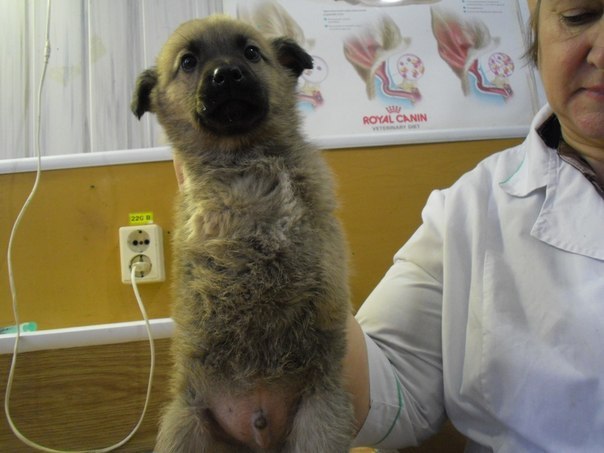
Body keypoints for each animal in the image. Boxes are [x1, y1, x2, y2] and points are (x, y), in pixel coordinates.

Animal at [131, 15, 354, 452]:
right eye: (188, 62)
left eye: (251, 52)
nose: (227, 75)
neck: (242, 156)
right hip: (186, 425)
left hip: (319, 419)